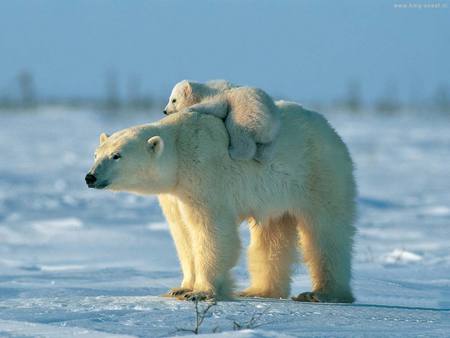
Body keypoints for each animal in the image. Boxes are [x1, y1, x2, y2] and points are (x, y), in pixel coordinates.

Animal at [86, 101, 356, 302]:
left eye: (117, 155)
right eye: (96, 154)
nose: (90, 177)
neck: (178, 150)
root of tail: (329, 128)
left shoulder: (204, 173)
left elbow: (210, 230)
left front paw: (201, 292)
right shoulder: (175, 194)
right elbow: (183, 234)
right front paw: (181, 288)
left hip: (319, 172)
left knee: (326, 231)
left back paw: (322, 293)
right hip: (276, 196)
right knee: (271, 237)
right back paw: (258, 290)